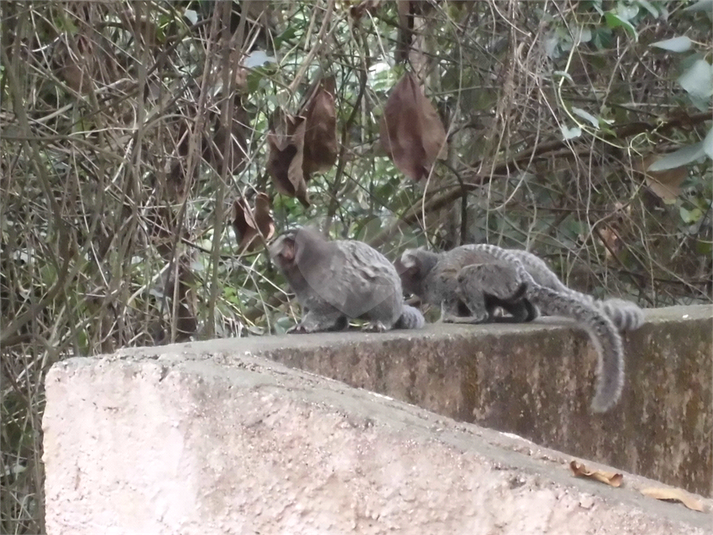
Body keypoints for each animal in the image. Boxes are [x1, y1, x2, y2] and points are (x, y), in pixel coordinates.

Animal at [268, 227, 422, 336]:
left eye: (287, 243)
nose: (284, 250)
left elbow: (327, 306)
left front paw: (305, 325)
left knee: (382, 287)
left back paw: (380, 322)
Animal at [398, 245, 644, 412]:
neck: (428, 270)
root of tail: (525, 272)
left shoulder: (442, 279)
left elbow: (451, 290)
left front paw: (448, 316)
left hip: (497, 276)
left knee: (468, 275)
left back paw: (479, 317)